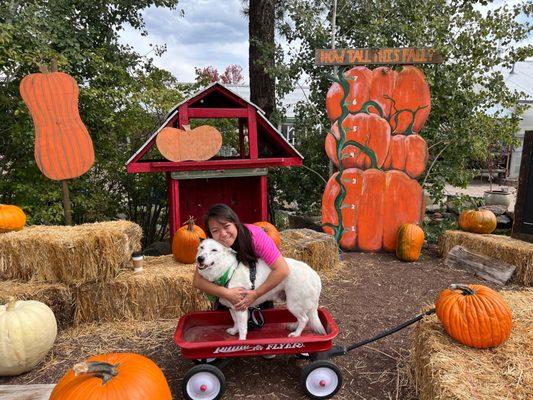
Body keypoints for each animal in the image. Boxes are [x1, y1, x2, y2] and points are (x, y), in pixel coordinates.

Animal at [195, 239, 324, 340]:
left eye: (214, 250)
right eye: (201, 247)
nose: (199, 258)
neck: (229, 271)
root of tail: (315, 275)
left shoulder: (241, 308)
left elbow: (242, 327)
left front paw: (241, 342)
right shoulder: (232, 307)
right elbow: (235, 321)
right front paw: (234, 331)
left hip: (294, 304)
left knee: (304, 319)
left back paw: (296, 334)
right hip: (296, 304)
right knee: (303, 317)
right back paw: (293, 326)